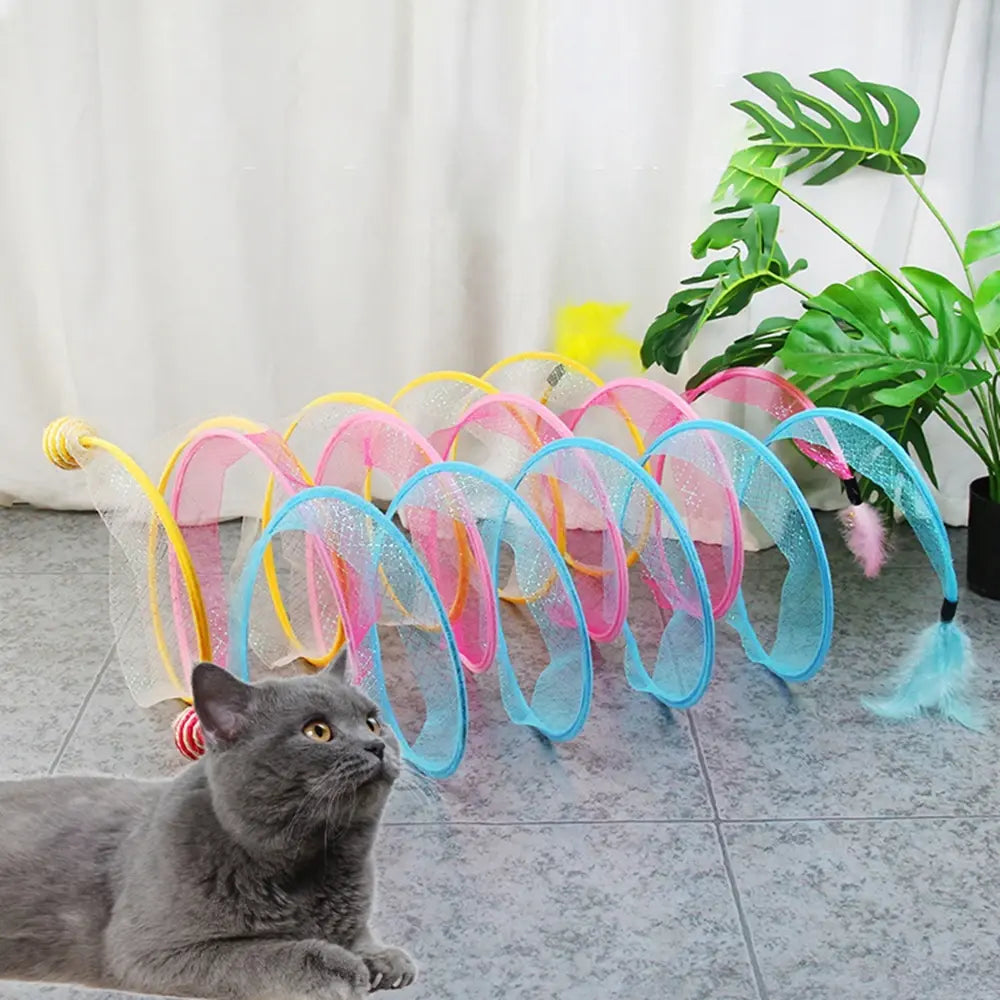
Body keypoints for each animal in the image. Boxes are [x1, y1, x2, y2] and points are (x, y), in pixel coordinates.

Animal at [0, 656, 416, 1000]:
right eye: (318, 731)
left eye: (373, 721)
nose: (376, 745)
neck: (313, 865)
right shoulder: (148, 951)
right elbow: (260, 953)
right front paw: (339, 964)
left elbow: (356, 930)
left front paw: (381, 956)